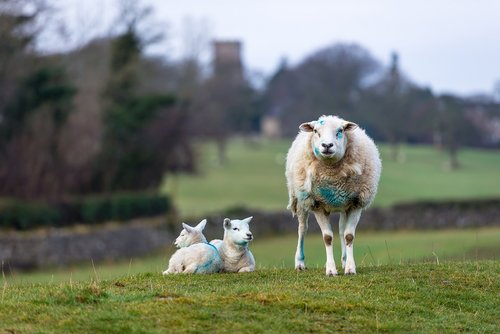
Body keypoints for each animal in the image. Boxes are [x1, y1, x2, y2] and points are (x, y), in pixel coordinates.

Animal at [286, 116, 382, 276]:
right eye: (315, 131)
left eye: (340, 130)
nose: (327, 145)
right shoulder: (317, 204)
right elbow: (327, 237)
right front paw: (331, 270)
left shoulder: (356, 203)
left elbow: (348, 235)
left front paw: (350, 268)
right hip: (301, 199)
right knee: (302, 228)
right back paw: (299, 263)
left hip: (343, 204)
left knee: (342, 229)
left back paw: (344, 260)